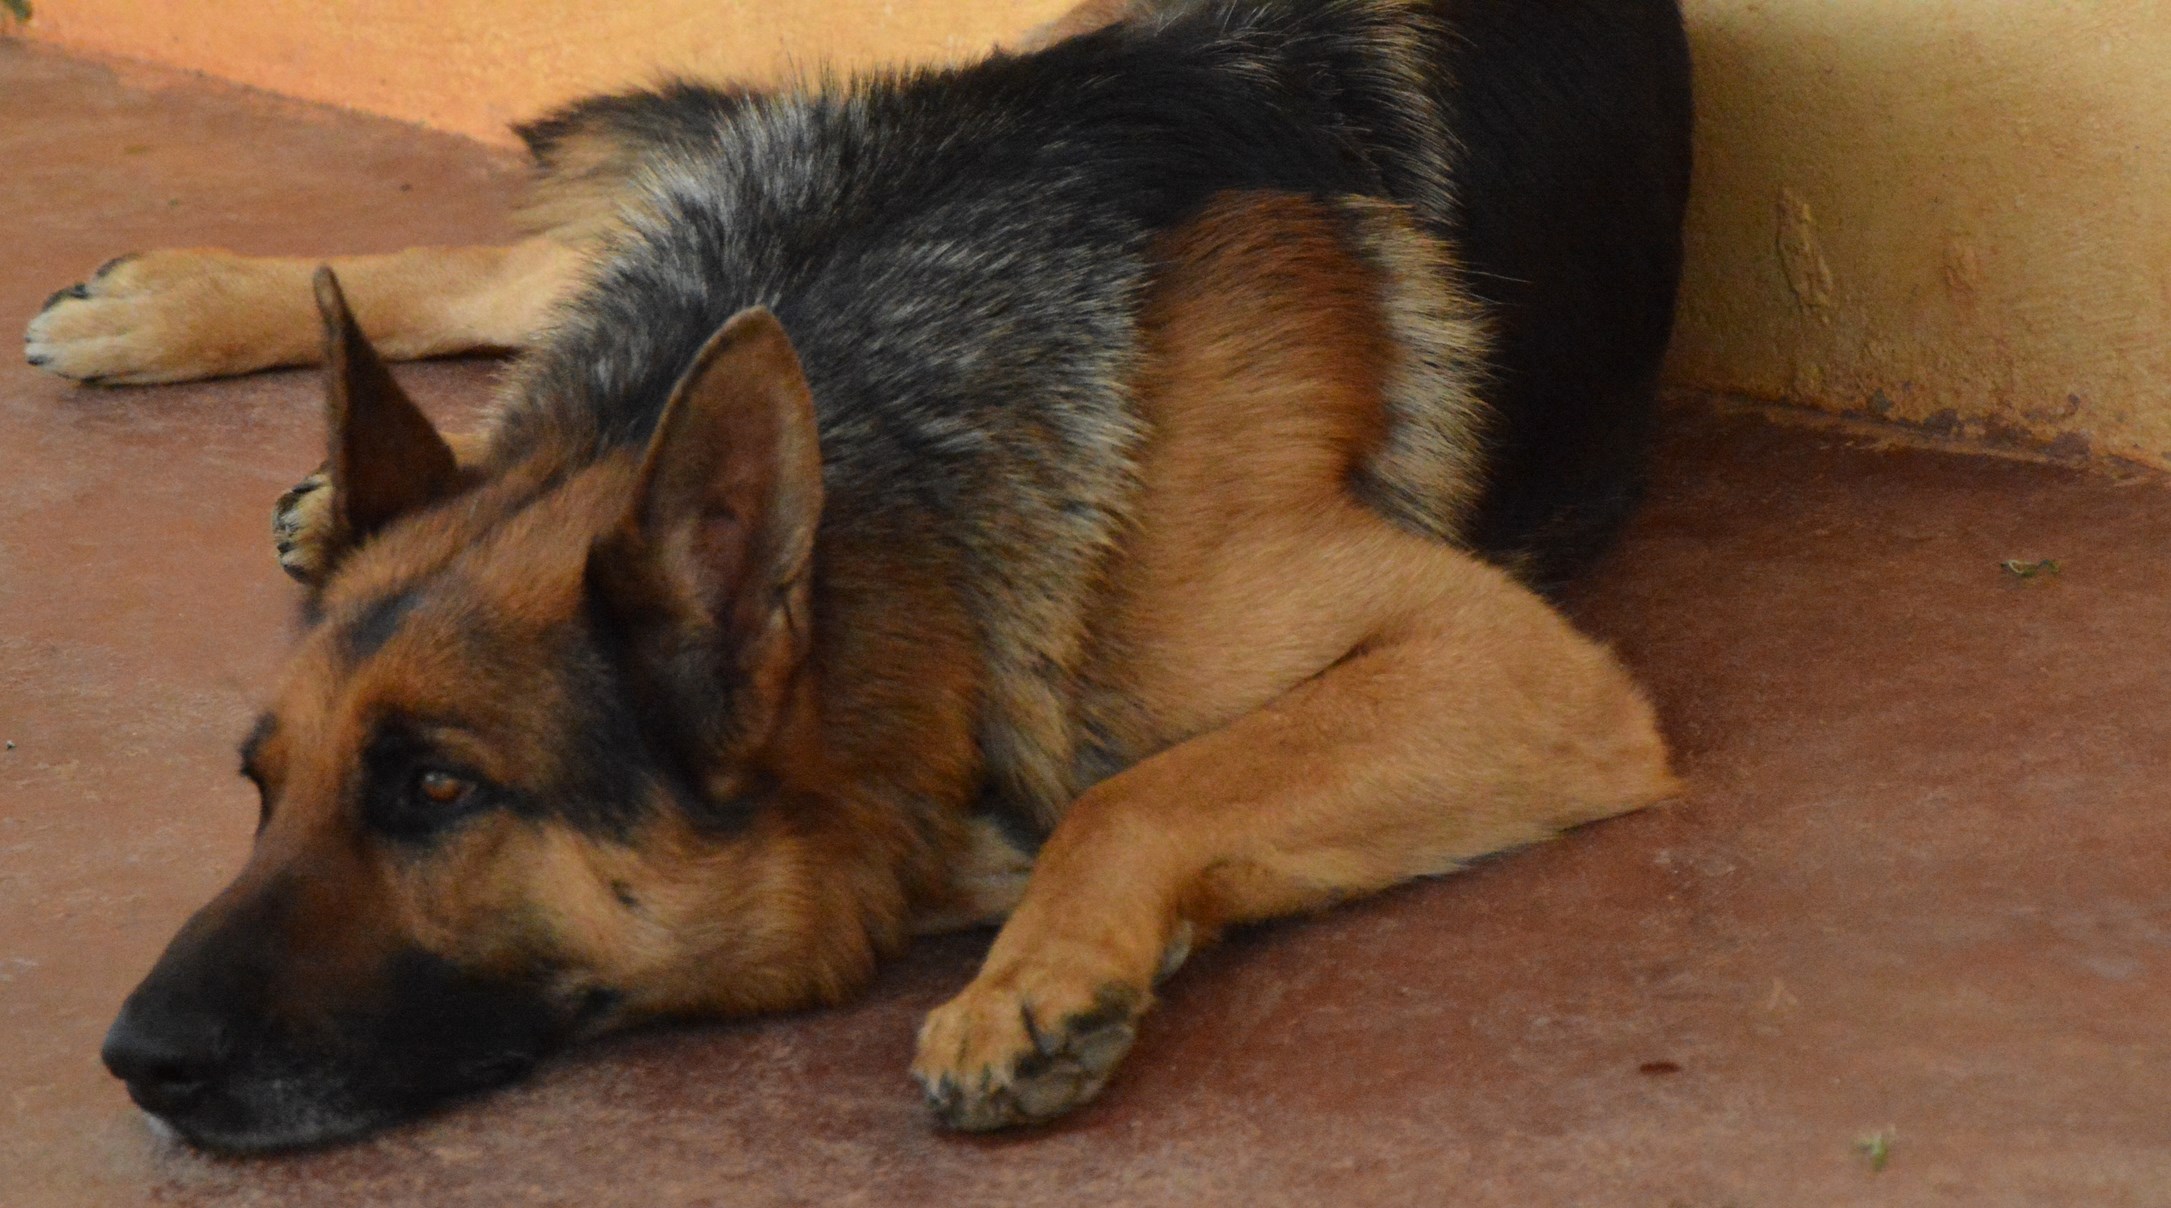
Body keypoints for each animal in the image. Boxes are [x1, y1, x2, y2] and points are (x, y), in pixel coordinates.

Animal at [29, 0, 1693, 1151]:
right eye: (261, 790)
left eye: (437, 790)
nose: (132, 1060)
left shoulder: (1512, 666)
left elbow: (1133, 790)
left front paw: (1038, 969)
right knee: (533, 262)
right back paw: (170, 313)